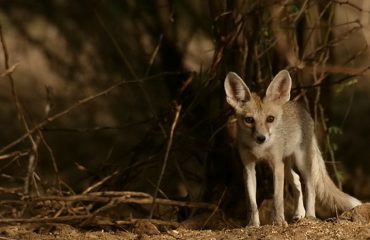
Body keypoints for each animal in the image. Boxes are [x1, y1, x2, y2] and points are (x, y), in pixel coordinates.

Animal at [223, 70, 362, 227]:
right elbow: (252, 203)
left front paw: (278, 221)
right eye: (249, 120)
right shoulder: (248, 167)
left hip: (301, 162)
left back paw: (310, 216)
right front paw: (253, 225)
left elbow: (278, 199)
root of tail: (302, 108)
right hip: (287, 165)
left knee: (310, 187)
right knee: (297, 181)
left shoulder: (276, 165)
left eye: (270, 119)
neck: (260, 150)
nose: (261, 138)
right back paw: (299, 214)